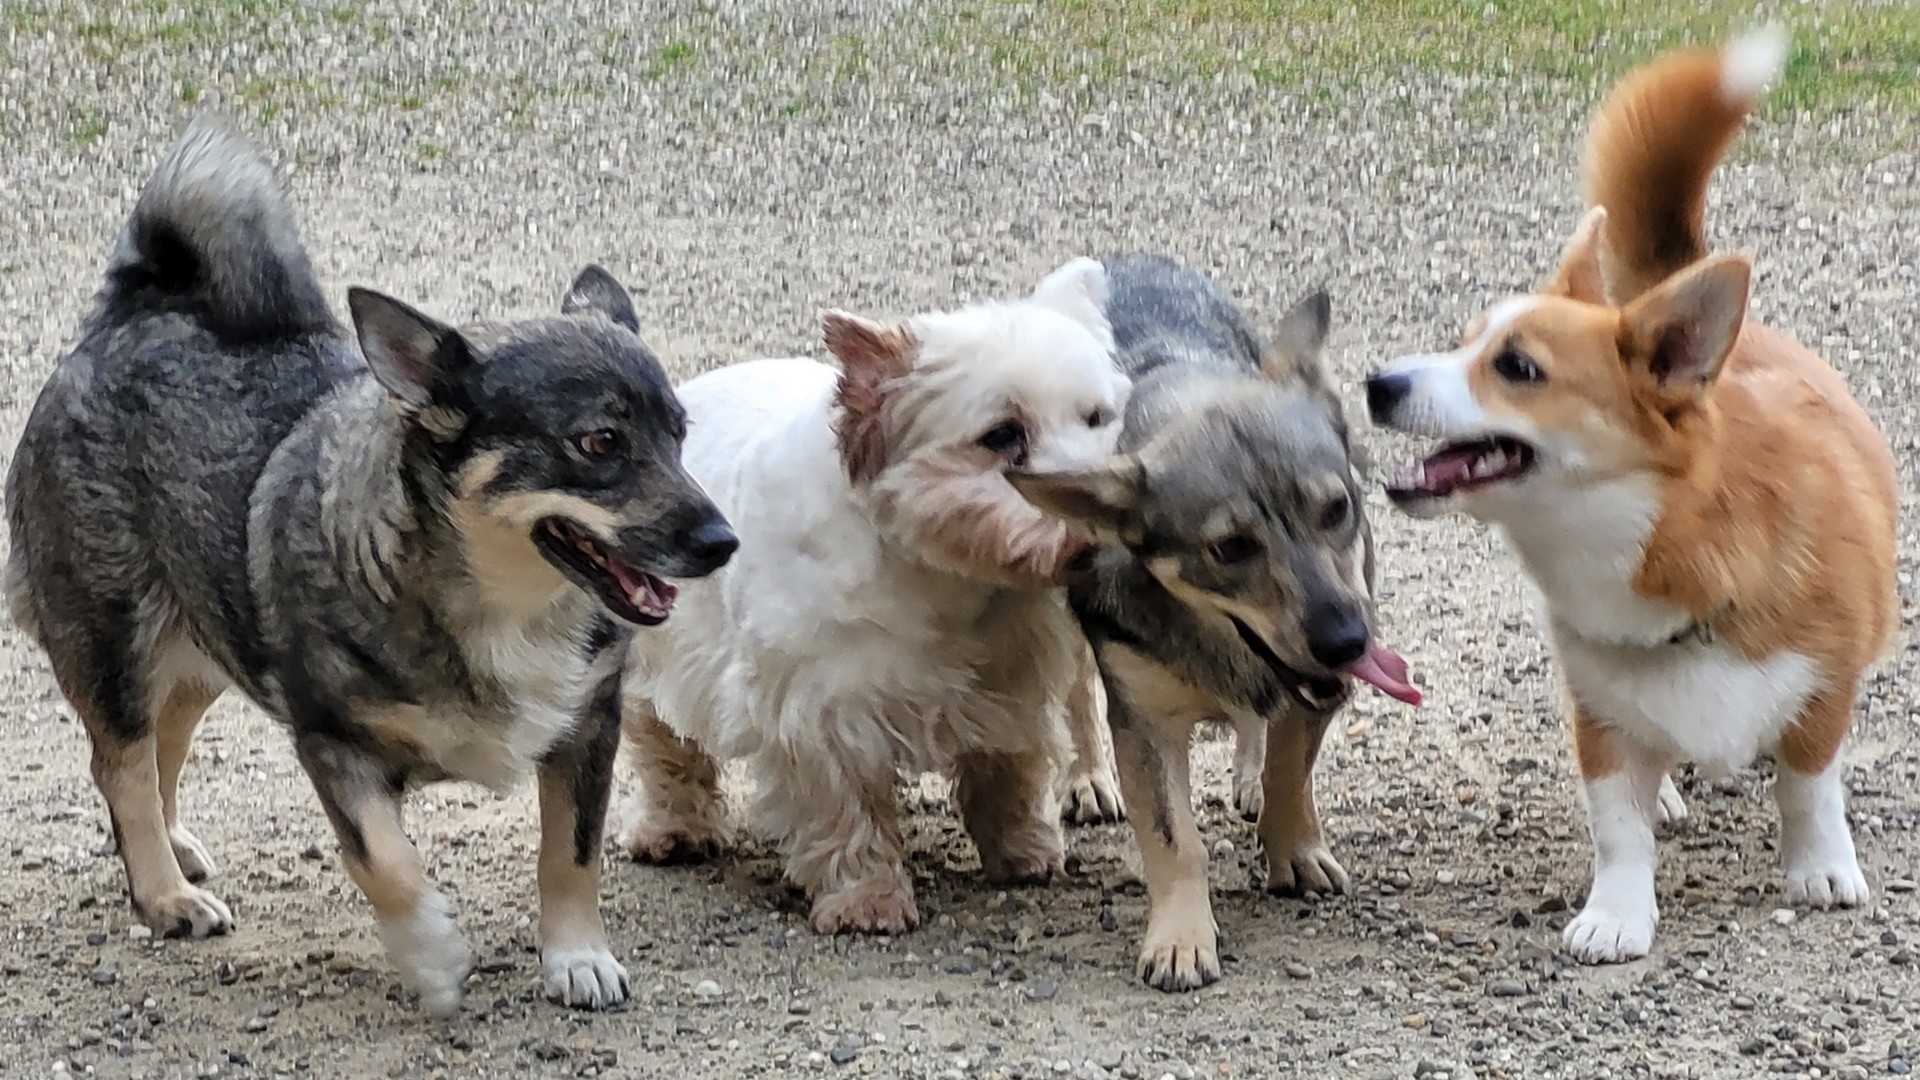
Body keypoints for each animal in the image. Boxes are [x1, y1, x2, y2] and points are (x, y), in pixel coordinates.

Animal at [3, 117, 737, 1006]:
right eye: (599, 442)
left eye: (678, 434)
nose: (722, 541)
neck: (504, 606)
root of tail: (132, 314)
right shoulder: (333, 745)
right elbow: (384, 862)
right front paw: (429, 952)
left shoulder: (586, 727)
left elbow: (570, 854)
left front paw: (575, 957)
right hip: (116, 645)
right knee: (122, 766)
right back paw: (164, 893)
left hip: (204, 642)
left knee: (160, 747)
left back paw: (171, 855)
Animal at [614, 255, 1128, 930]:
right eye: (1001, 435)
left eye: (1096, 418)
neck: (945, 582)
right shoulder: (816, 711)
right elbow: (845, 811)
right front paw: (867, 898)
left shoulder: (1011, 684)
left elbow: (1008, 772)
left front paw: (1022, 851)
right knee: (663, 743)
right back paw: (675, 828)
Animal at [1013, 253, 1420, 991]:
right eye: (1230, 548)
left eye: (1337, 508)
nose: (1348, 644)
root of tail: (1126, 259)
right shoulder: (1144, 723)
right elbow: (1175, 840)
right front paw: (1181, 937)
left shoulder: (1312, 695)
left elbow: (1289, 772)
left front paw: (1293, 849)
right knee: (1080, 694)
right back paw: (1089, 778)